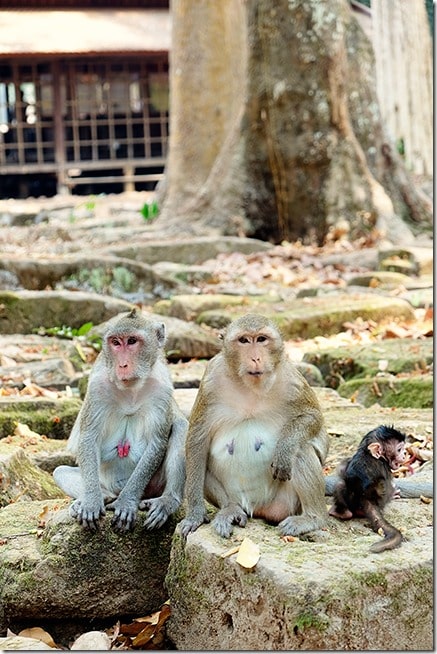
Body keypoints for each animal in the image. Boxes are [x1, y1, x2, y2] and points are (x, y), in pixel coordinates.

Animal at [52, 308, 186, 532]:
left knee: (181, 425)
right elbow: (89, 437)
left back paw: (167, 501)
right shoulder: (97, 387)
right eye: (115, 342)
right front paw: (91, 501)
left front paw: (127, 502)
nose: (122, 365)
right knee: (60, 471)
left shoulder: (161, 390)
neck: (130, 388)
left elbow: (157, 441)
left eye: (132, 341)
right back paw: (100, 498)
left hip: (154, 486)